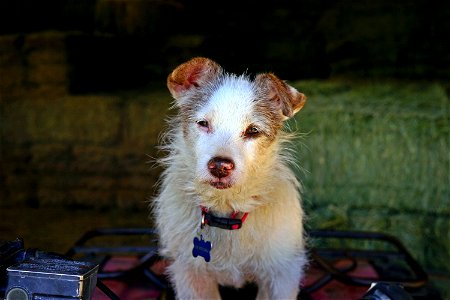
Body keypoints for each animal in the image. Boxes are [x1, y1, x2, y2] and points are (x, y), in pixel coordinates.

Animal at [153, 57, 308, 298]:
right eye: (203, 123)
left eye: (253, 131)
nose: (219, 166)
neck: (226, 210)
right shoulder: (191, 276)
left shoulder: (282, 275)